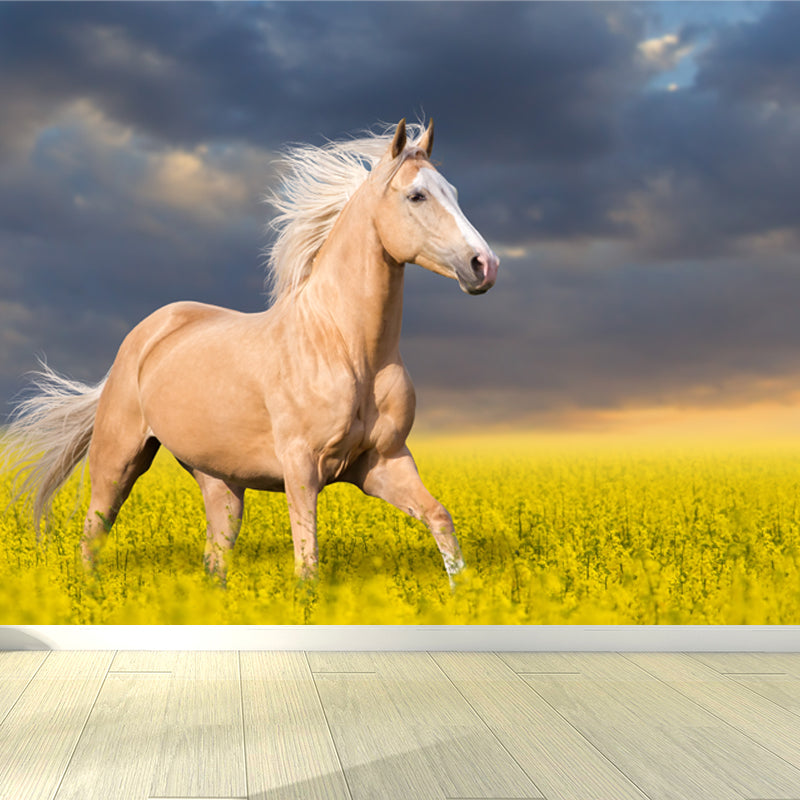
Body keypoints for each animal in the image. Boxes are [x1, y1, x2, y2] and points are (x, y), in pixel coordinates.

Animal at [1, 119, 499, 584]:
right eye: (416, 196)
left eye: (453, 192)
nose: (484, 265)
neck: (347, 349)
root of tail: (144, 335)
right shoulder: (302, 467)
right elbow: (307, 562)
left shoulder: (383, 463)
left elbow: (440, 519)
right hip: (118, 459)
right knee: (93, 534)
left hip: (220, 481)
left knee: (215, 556)